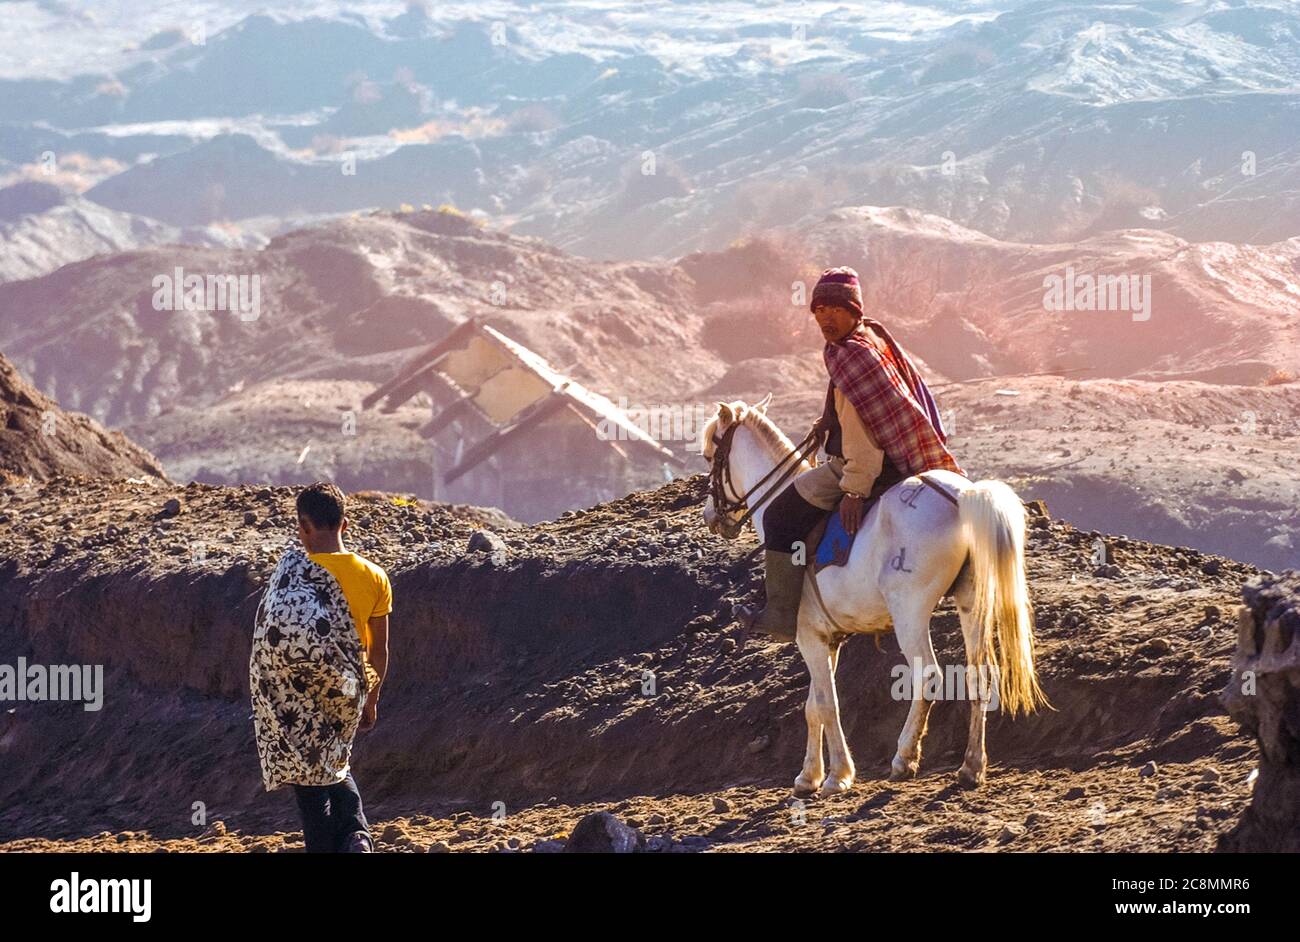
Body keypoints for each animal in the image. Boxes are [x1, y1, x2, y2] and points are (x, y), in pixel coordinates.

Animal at [702, 392, 1045, 795]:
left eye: (709, 455)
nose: (711, 516)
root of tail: (963, 495)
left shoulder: (808, 636)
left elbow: (827, 703)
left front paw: (837, 775)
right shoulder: (827, 639)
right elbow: (813, 706)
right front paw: (808, 775)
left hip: (909, 611)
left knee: (928, 676)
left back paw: (904, 758)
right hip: (970, 603)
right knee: (980, 674)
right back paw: (971, 767)